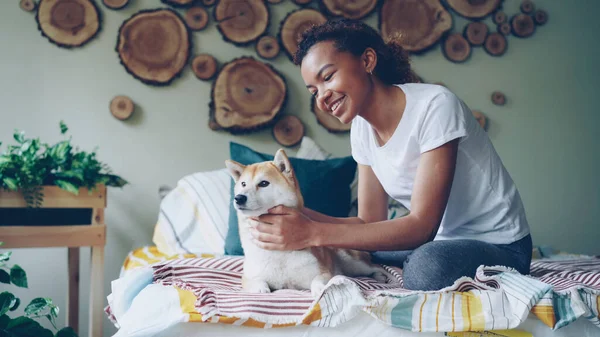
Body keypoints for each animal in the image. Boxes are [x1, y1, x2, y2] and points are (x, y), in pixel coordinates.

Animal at [226, 148, 394, 296]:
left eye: (263, 183)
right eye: (243, 184)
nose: (239, 197)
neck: (279, 254)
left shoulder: (324, 271)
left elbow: (318, 280)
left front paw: (320, 289)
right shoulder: (249, 276)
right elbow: (257, 281)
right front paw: (261, 289)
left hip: (354, 263)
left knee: (378, 267)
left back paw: (388, 278)